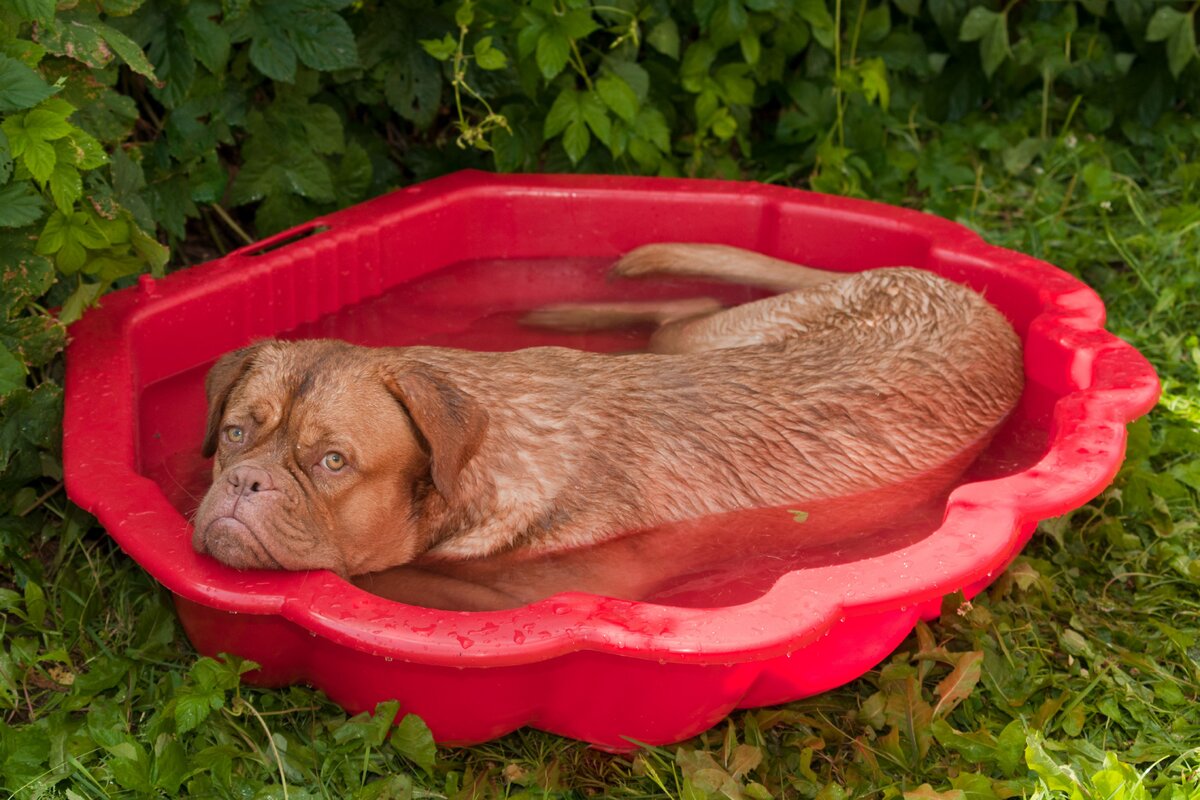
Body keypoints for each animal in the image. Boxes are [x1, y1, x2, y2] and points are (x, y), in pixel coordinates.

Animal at [194, 241, 1022, 585]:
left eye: (333, 461)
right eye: (235, 433)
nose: (244, 484)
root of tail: (963, 291)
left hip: (710, 338)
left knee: (683, 308)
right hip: (718, 336)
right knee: (686, 309)